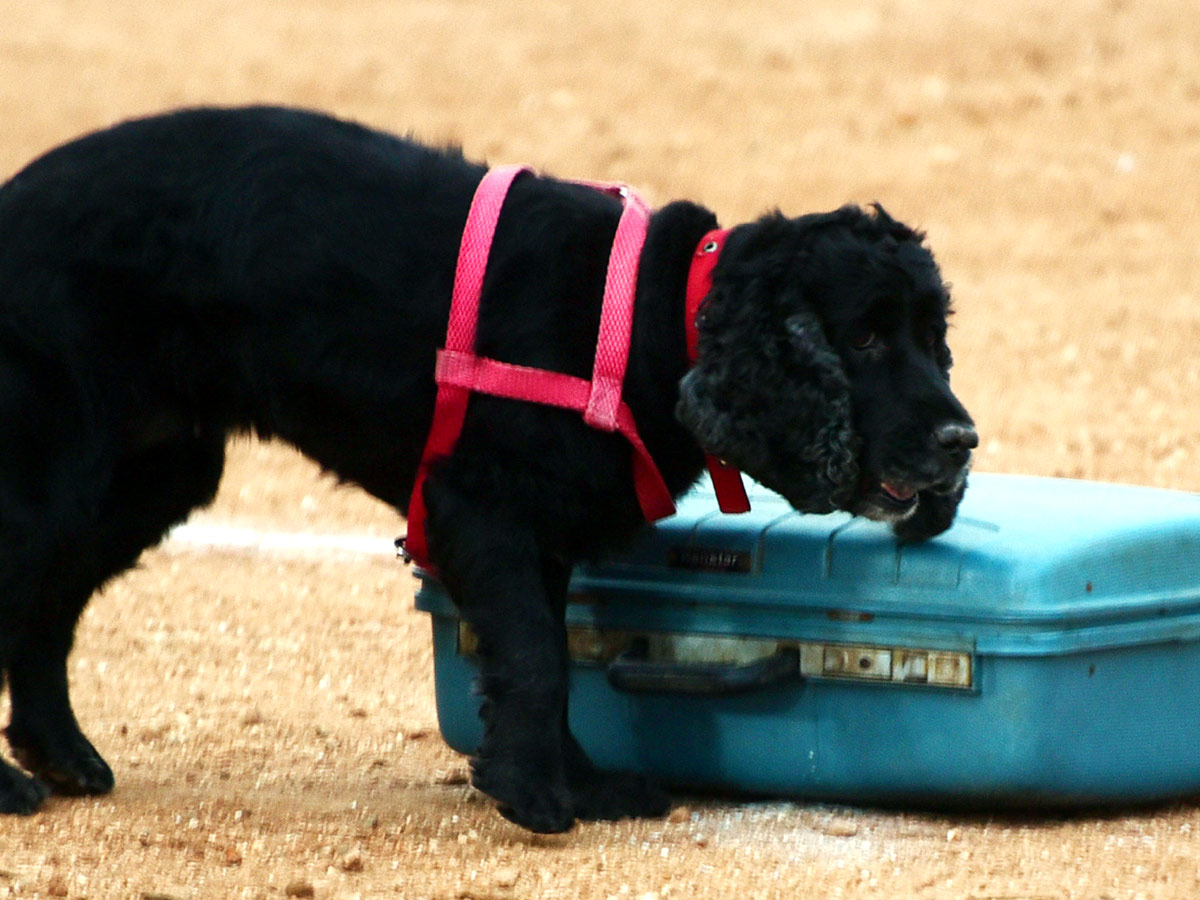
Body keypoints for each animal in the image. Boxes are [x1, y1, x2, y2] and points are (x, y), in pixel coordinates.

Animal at [0, 105, 974, 830]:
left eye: (933, 335)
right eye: (865, 338)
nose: (962, 439)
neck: (653, 319)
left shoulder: (539, 537)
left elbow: (545, 658)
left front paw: (580, 783)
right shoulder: (483, 508)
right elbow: (537, 657)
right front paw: (538, 796)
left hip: (145, 476)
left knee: (43, 616)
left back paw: (62, 756)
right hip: (52, 476)